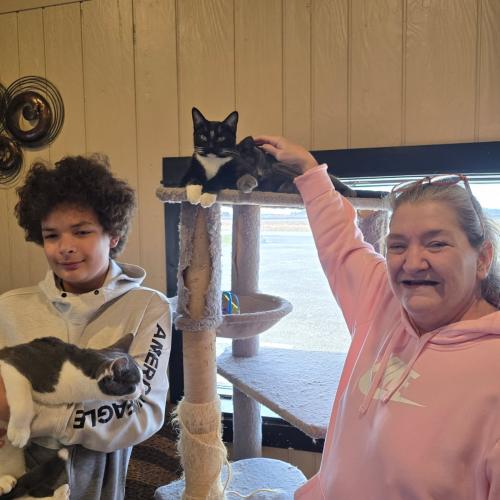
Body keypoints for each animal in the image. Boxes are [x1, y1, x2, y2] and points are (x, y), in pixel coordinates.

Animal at [0, 334, 143, 499]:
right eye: (135, 384)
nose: (145, 389)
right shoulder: (11, 360)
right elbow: (23, 400)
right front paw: (20, 432)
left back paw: (59, 493)